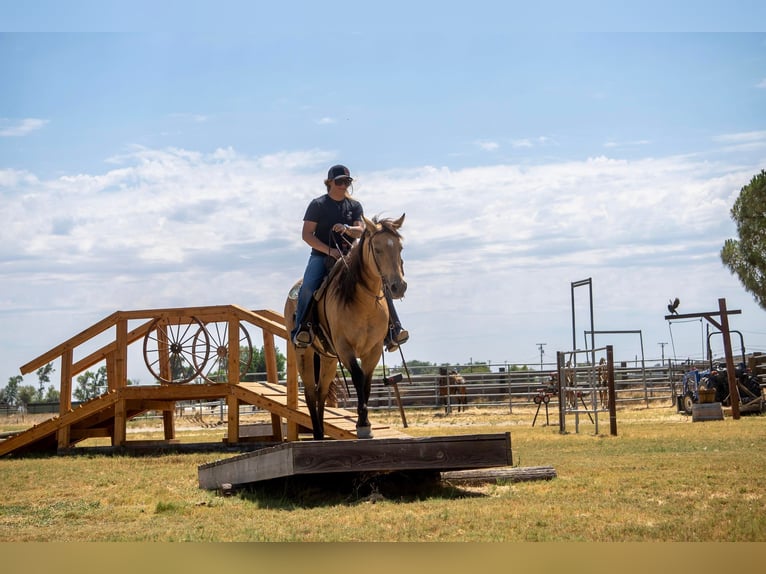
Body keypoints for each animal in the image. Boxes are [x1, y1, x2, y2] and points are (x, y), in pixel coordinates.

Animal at [285, 214, 406, 439]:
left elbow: (366, 382)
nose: (398, 286)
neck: (364, 304)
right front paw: (363, 424)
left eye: (400, 248)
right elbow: (357, 377)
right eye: (377, 249)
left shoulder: (373, 350)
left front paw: (365, 422)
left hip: (328, 358)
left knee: (322, 391)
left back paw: (322, 433)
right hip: (303, 353)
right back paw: (317, 433)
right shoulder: (344, 347)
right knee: (310, 392)